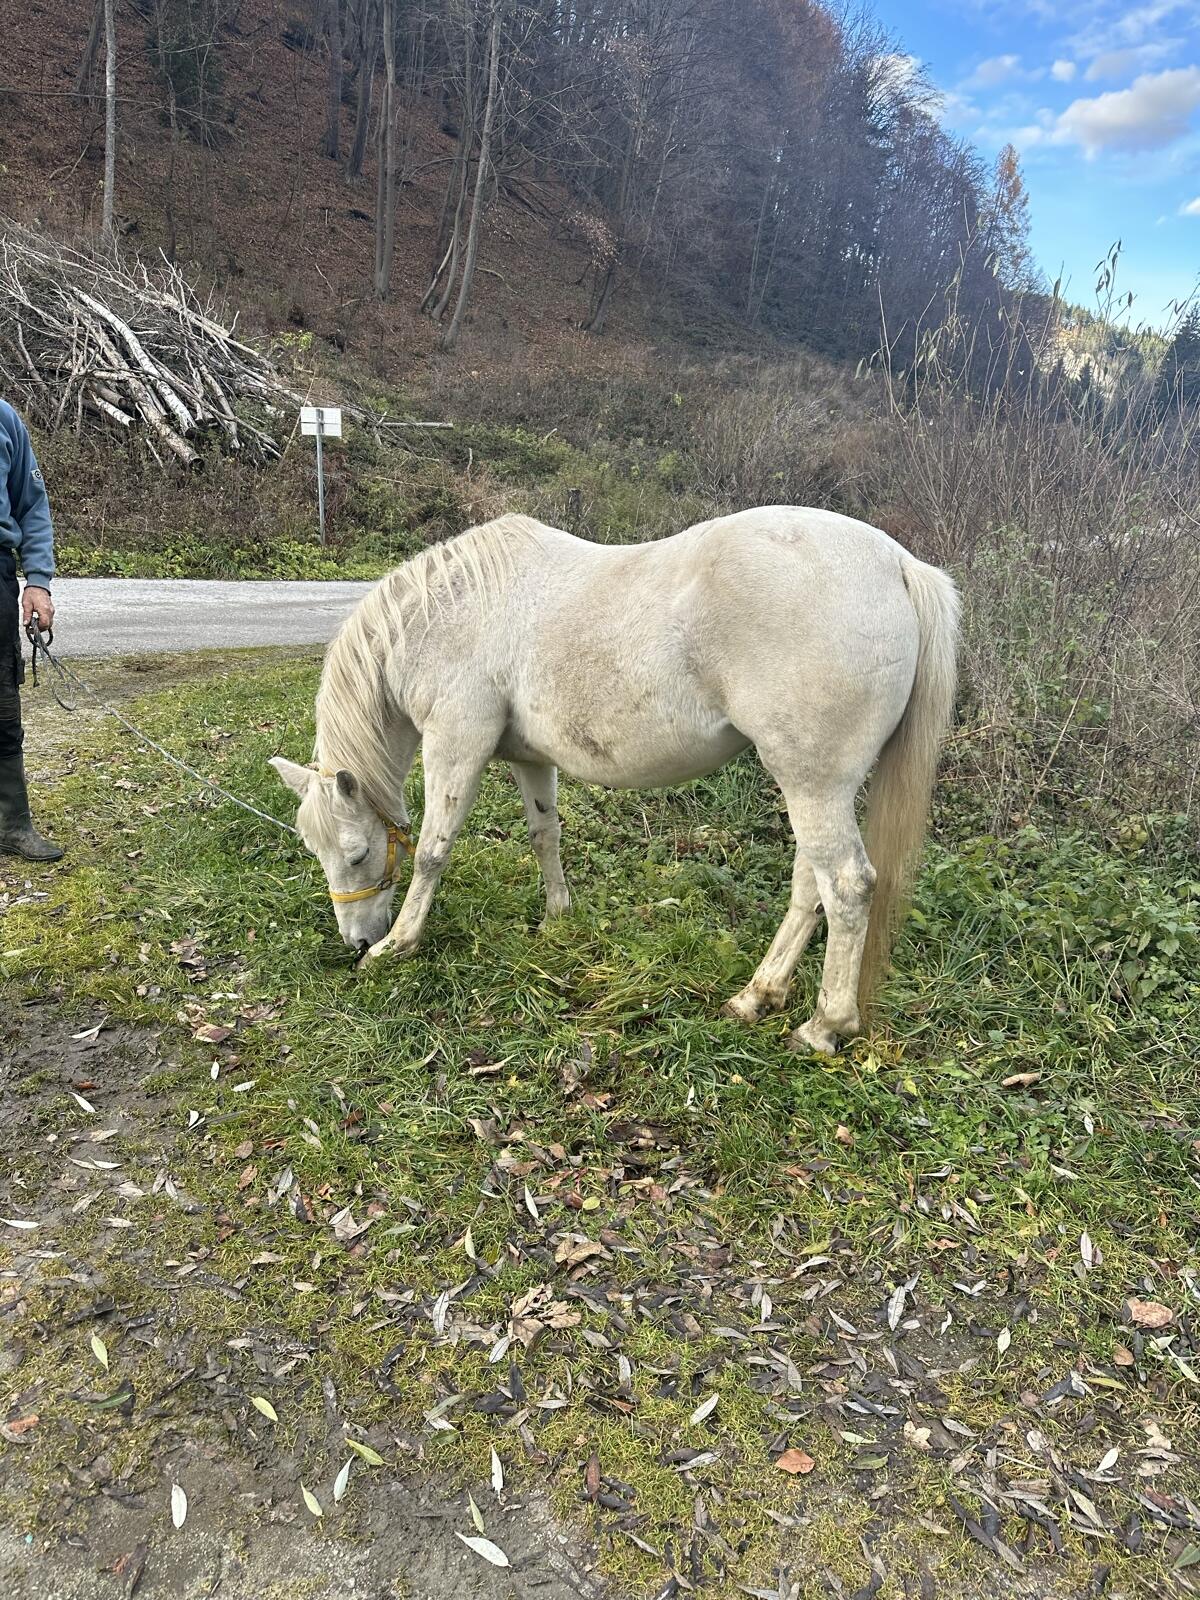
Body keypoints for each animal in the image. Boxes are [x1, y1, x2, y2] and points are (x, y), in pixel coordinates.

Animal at [270, 507, 959, 1053]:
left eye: (357, 854)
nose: (357, 942)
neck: (452, 609)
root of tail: (898, 565)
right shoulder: (528, 758)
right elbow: (544, 835)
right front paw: (558, 919)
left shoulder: (456, 743)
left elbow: (432, 853)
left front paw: (401, 946)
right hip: (816, 788)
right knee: (810, 887)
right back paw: (757, 996)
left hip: (813, 785)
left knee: (845, 887)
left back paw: (824, 1027)